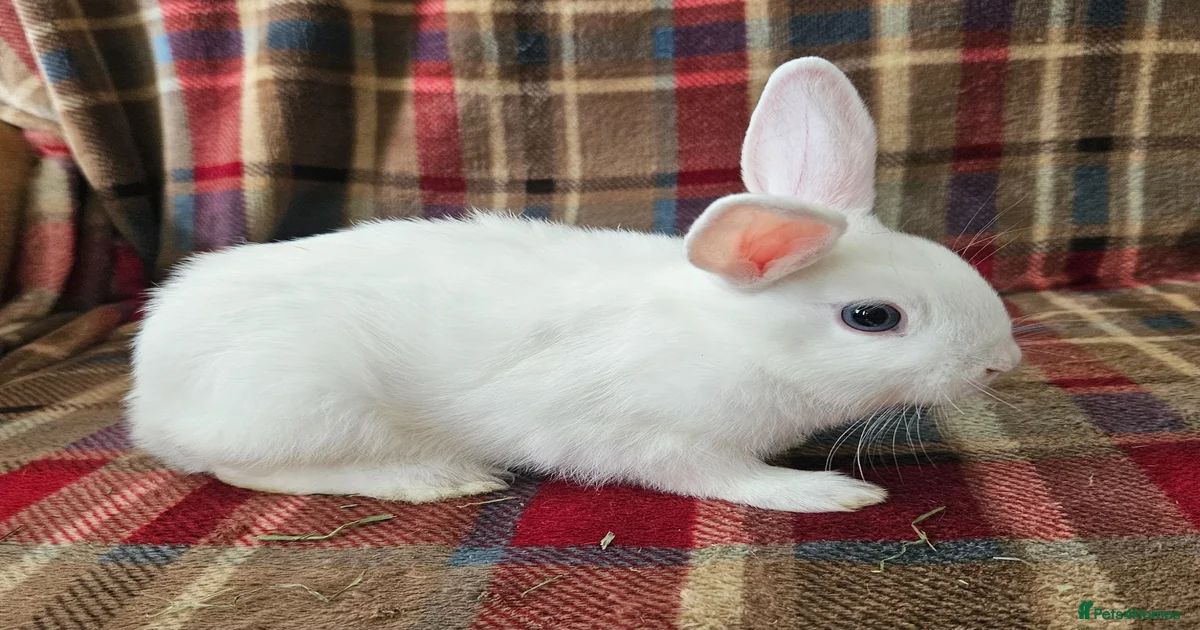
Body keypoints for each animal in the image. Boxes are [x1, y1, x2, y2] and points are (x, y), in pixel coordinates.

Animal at [126, 57, 1020, 513]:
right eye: (872, 317)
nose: (1001, 364)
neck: (734, 339)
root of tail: (149, 393)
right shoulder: (657, 438)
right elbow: (726, 480)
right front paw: (829, 494)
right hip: (305, 402)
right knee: (249, 471)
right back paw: (433, 477)